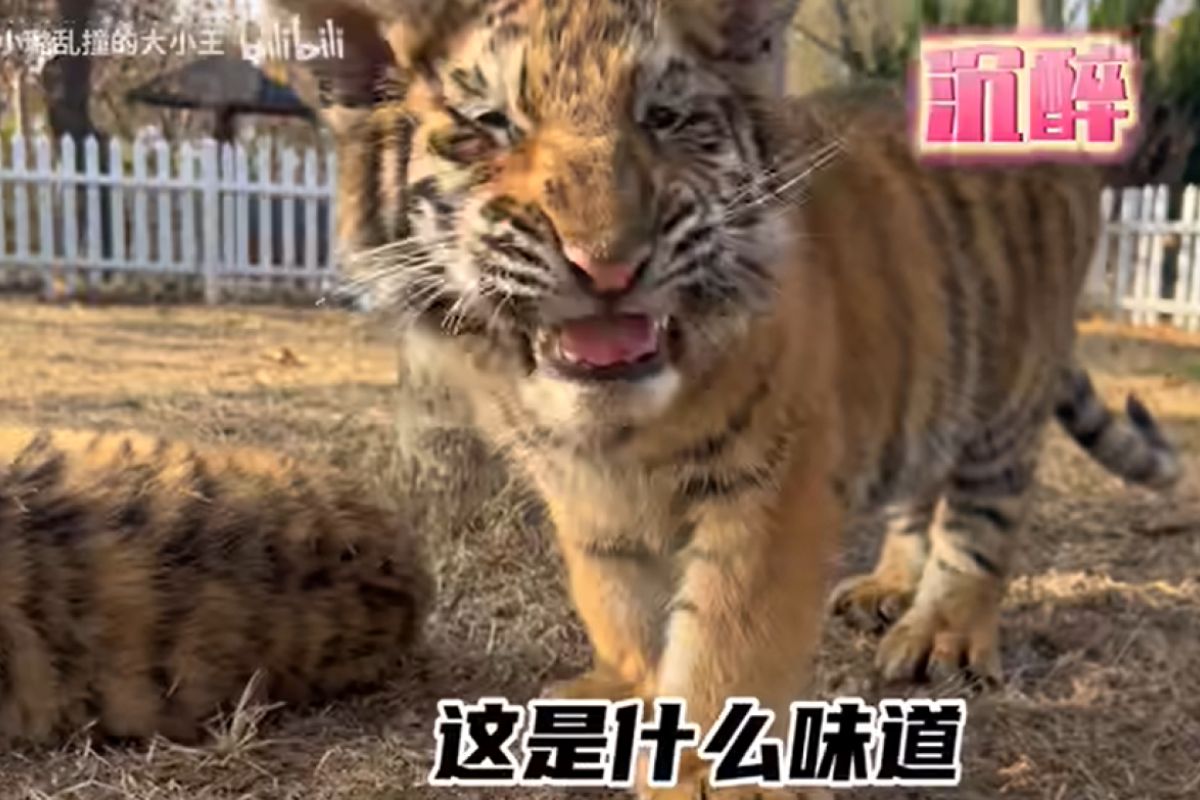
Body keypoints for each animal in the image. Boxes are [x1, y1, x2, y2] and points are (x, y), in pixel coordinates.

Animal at [274, 0, 1181, 796]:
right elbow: (616, 597)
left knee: (981, 519)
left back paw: (944, 636)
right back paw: (889, 584)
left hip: (1006, 387)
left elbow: (730, 636)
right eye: (488, 124)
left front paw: (706, 775)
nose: (607, 263)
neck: (611, 431)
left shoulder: (770, 482)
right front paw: (624, 691)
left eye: (665, 118)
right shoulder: (579, 490)